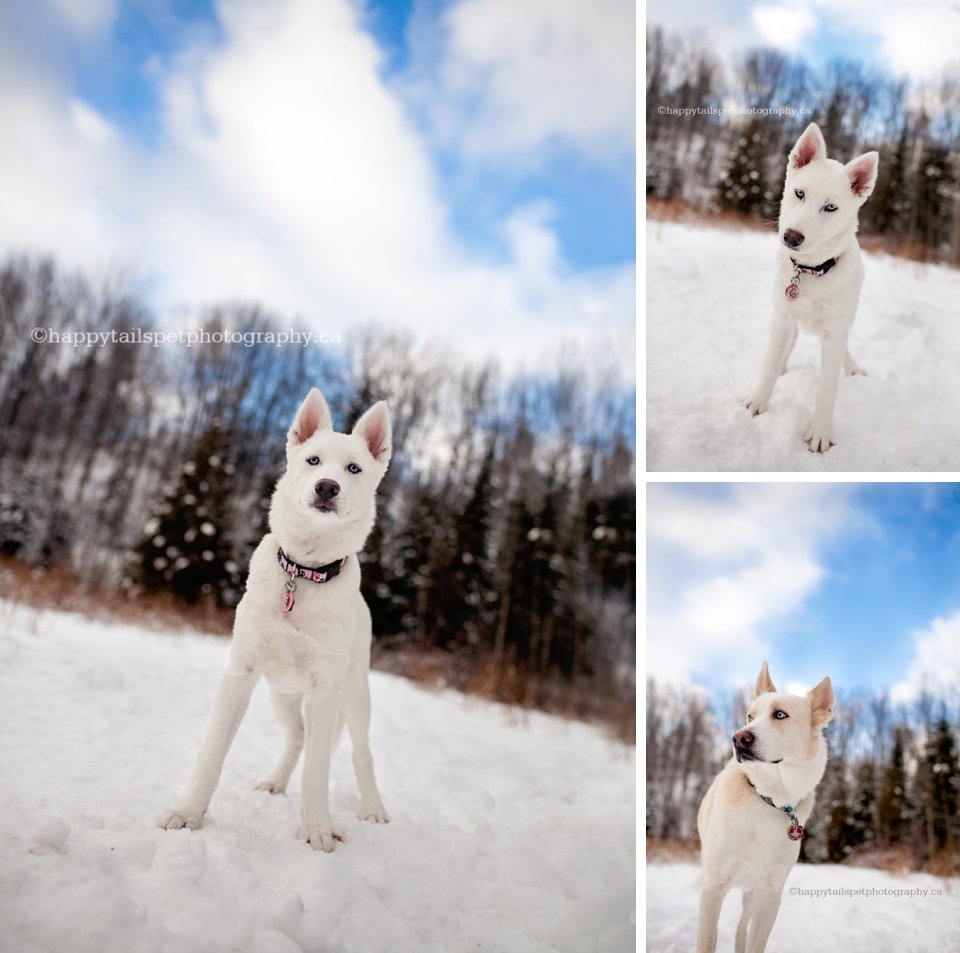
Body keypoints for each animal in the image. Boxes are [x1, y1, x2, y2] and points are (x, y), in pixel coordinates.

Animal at [159, 390, 392, 852]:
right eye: (314, 461)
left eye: (354, 468)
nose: (327, 487)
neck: (303, 573)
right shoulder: (241, 673)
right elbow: (212, 752)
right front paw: (188, 813)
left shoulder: (324, 690)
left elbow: (318, 771)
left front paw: (317, 829)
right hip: (280, 693)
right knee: (297, 738)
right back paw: (276, 782)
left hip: (354, 692)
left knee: (361, 752)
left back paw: (373, 808)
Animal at [696, 660, 832, 952]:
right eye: (750, 717)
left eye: (780, 715)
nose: (737, 739)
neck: (768, 797)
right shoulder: (713, 886)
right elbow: (706, 942)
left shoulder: (770, 895)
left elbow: (754, 942)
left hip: (751, 893)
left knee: (740, 930)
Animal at [748, 122, 880, 454]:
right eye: (800, 193)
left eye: (830, 207)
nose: (791, 237)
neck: (810, 272)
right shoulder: (782, 318)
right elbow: (769, 364)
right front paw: (756, 404)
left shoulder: (834, 335)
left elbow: (828, 390)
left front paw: (820, 434)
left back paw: (853, 367)